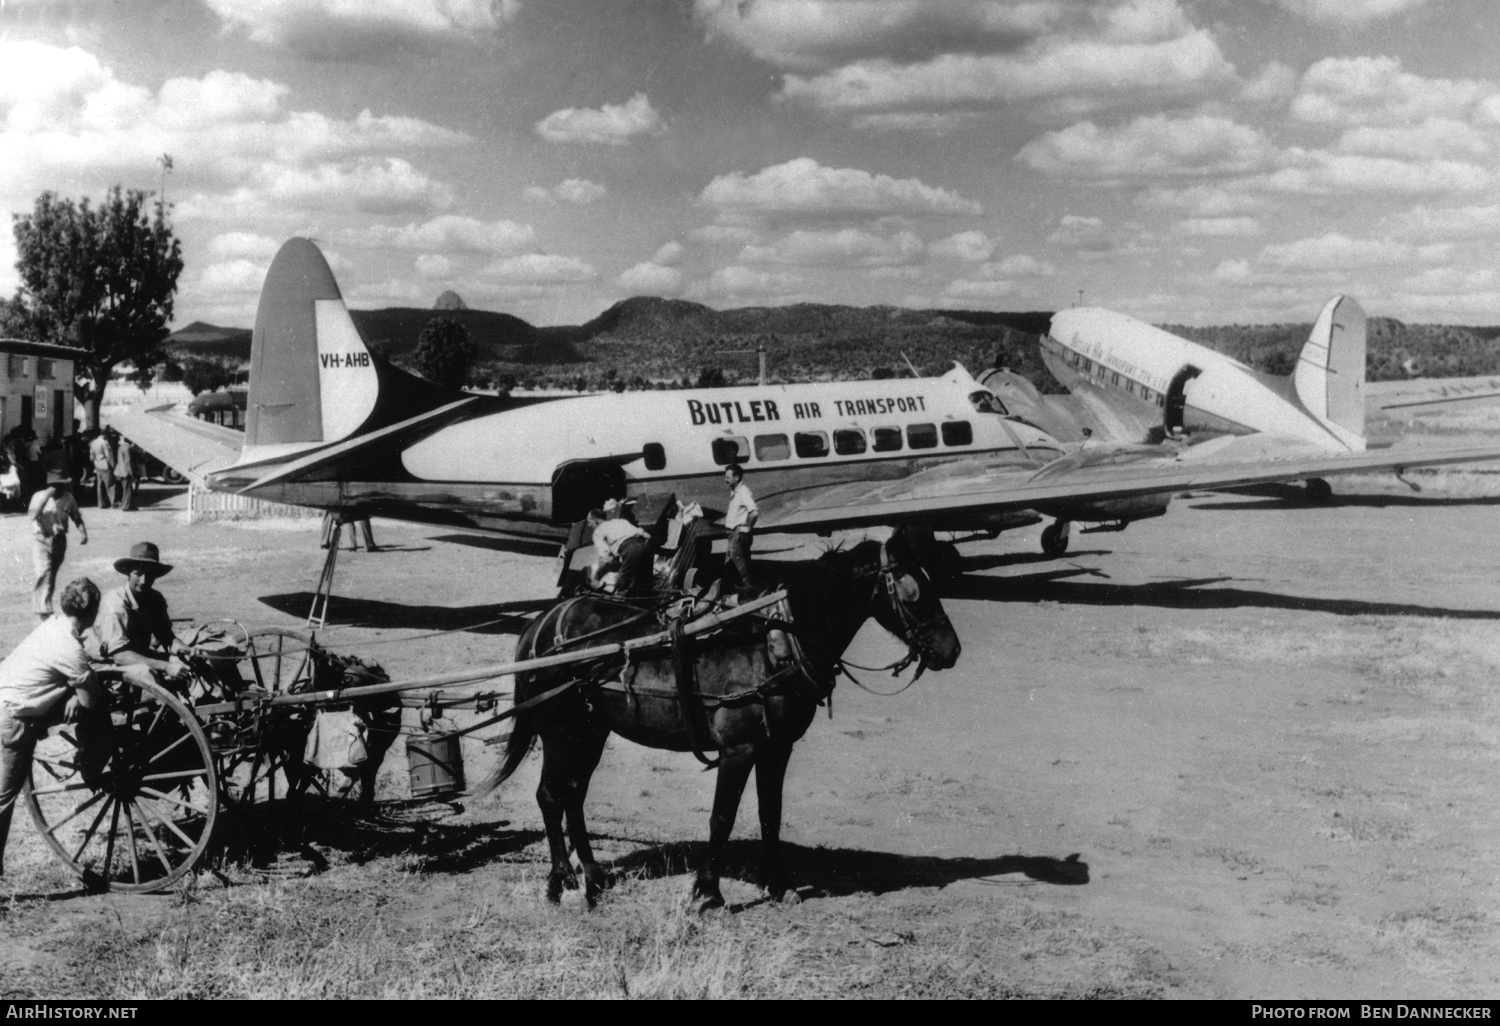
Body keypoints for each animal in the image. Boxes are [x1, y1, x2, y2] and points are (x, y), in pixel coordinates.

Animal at [477, 534, 960, 912]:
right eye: (914, 589)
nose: (950, 649)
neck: (774, 642)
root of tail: (542, 624)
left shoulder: (777, 748)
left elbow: (770, 815)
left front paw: (779, 886)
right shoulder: (738, 749)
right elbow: (721, 818)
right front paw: (708, 894)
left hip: (591, 731)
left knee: (573, 796)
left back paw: (593, 877)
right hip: (561, 730)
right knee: (550, 796)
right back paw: (564, 882)